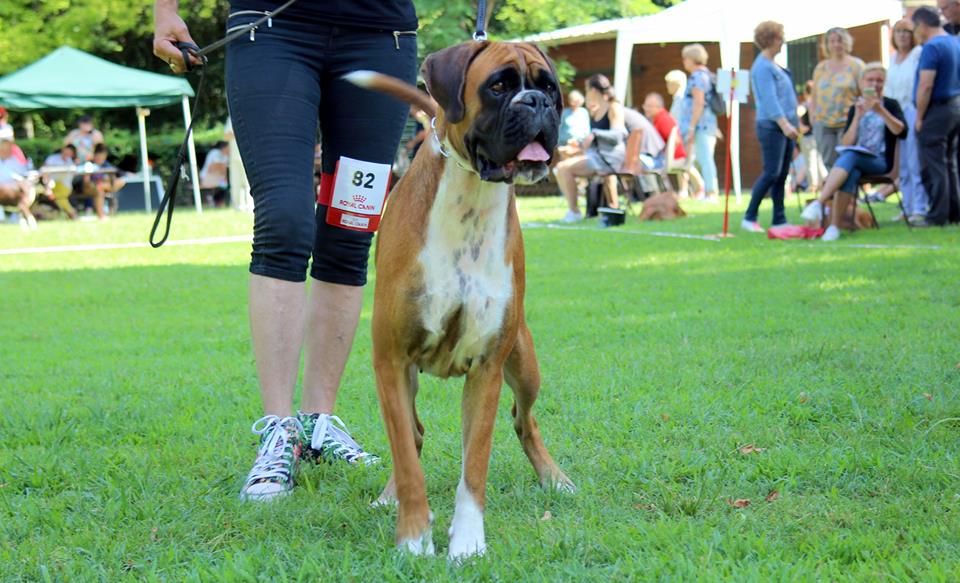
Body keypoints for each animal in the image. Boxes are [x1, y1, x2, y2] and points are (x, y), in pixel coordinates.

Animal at [344, 42, 568, 560]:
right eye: (499, 86)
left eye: (549, 87)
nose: (537, 103)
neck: (472, 199)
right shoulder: (390, 361)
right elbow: (408, 458)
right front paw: (412, 539)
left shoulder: (486, 369)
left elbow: (475, 466)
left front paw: (467, 543)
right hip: (406, 378)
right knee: (412, 435)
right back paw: (389, 497)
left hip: (524, 365)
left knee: (524, 421)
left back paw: (554, 477)